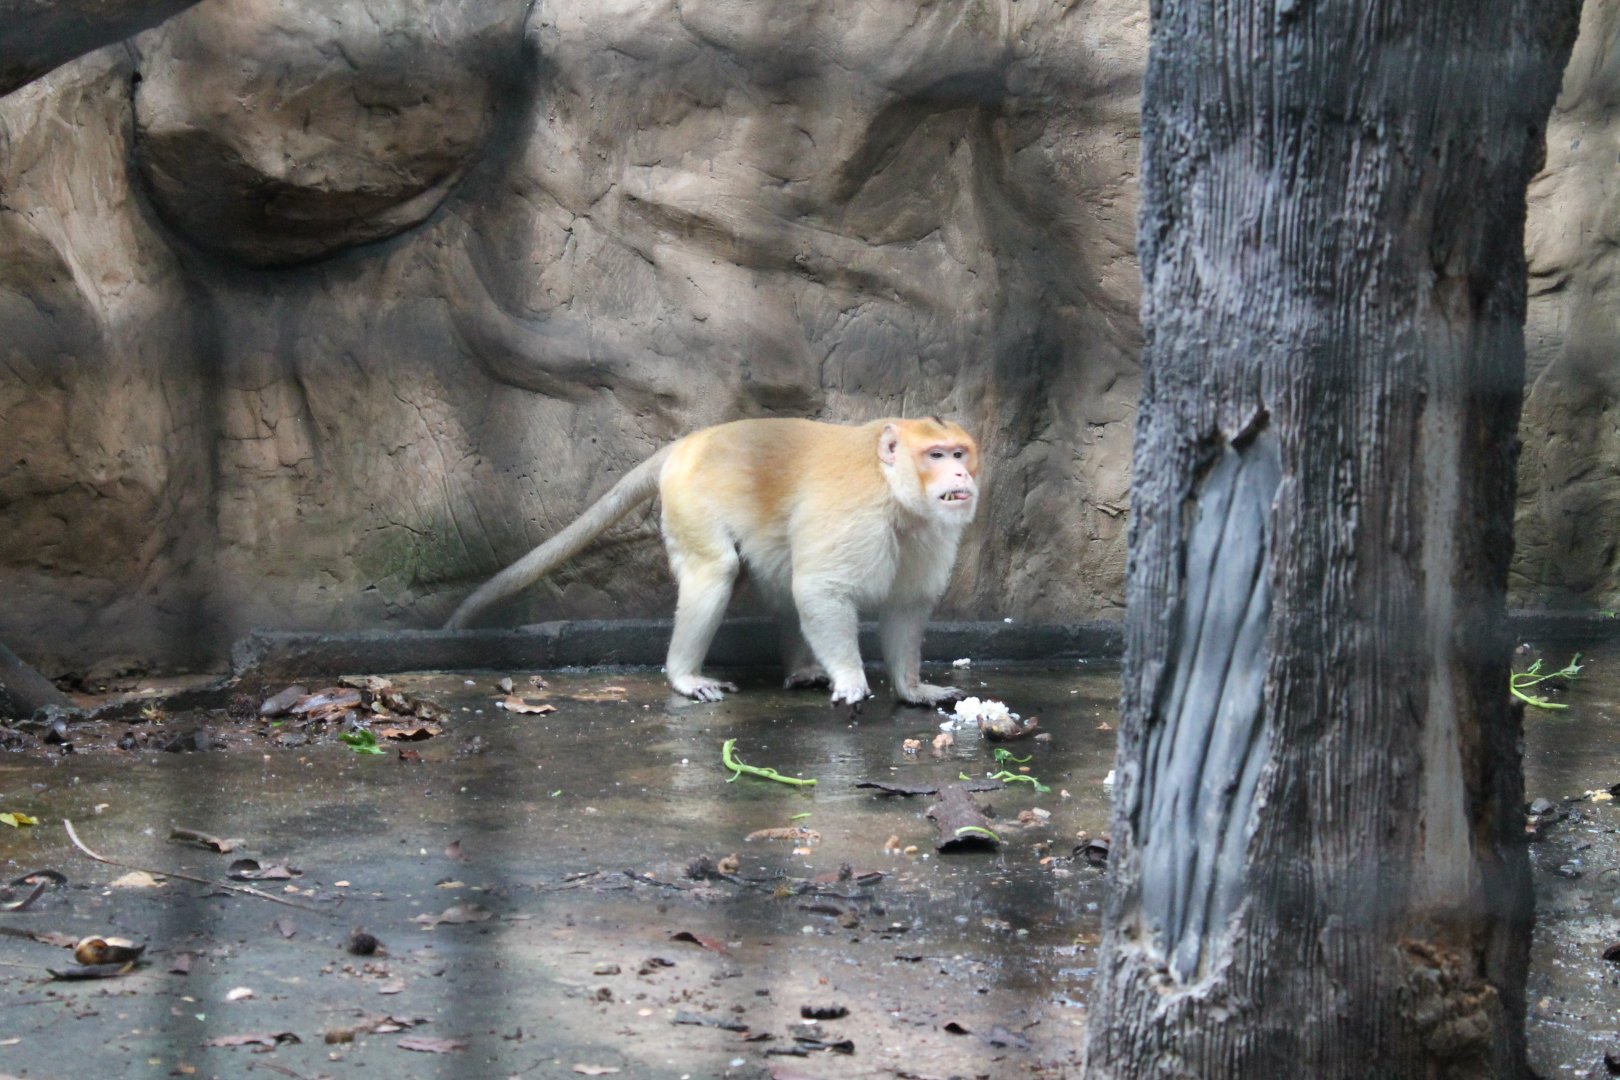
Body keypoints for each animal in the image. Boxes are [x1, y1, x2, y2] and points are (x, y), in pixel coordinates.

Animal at [444, 417, 981, 706]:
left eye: (959, 453)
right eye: (936, 455)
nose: (961, 474)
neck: (894, 492)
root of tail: (687, 443)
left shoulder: (929, 531)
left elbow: (906, 607)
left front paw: (912, 689)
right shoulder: (855, 513)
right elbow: (820, 590)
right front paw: (851, 678)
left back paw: (801, 669)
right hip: (690, 500)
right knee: (717, 570)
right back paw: (684, 676)